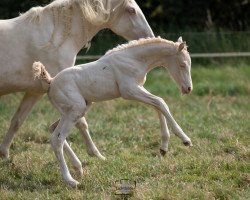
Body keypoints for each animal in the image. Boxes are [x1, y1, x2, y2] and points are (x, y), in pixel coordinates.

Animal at [32, 36, 193, 187]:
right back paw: (71, 180)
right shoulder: (129, 91)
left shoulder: (138, 88)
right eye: (182, 64)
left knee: (53, 129)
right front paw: (185, 139)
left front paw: (163, 148)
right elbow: (161, 102)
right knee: (57, 139)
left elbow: (158, 105)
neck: (133, 59)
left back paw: (78, 168)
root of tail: (51, 82)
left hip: (75, 110)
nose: (188, 89)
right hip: (75, 110)